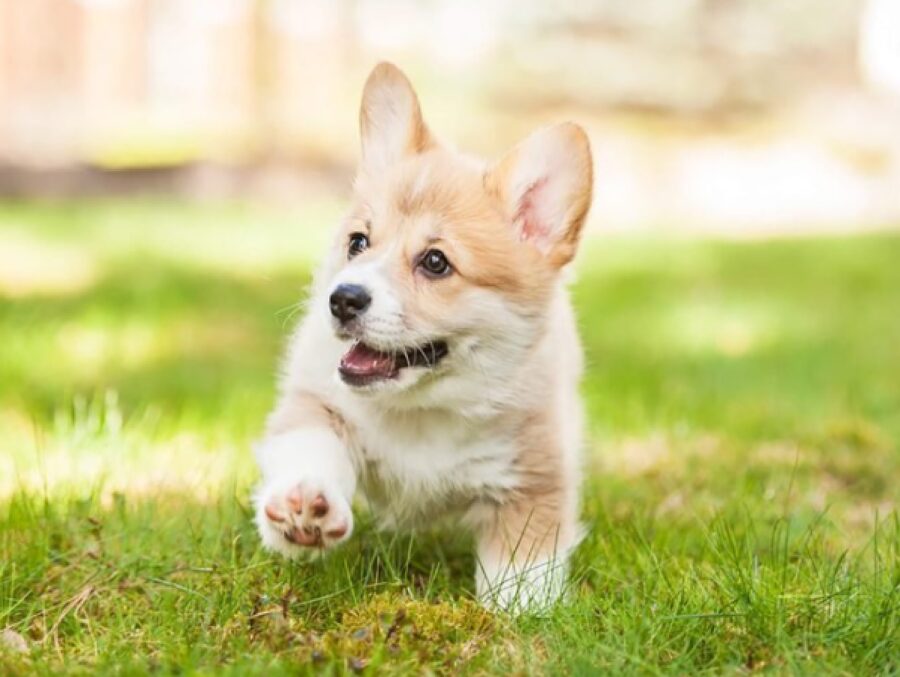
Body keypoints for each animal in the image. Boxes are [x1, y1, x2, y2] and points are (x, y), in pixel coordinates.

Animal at [253, 63, 596, 612]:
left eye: (436, 262)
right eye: (358, 242)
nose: (343, 299)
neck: (422, 409)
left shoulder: (533, 472)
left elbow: (523, 565)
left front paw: (517, 614)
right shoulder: (315, 402)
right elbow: (311, 445)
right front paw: (303, 505)